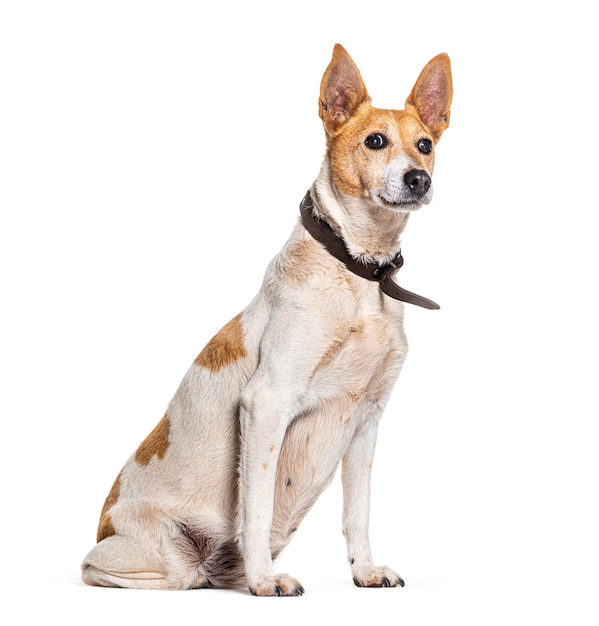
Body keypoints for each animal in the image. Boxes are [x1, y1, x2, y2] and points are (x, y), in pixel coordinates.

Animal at [81, 45, 454, 596]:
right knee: (110, 570)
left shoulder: (367, 422)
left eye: (425, 145)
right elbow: (254, 507)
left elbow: (358, 511)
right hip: (154, 556)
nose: (419, 179)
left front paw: (365, 571)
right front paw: (264, 580)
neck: (357, 271)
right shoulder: (266, 403)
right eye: (375, 141)